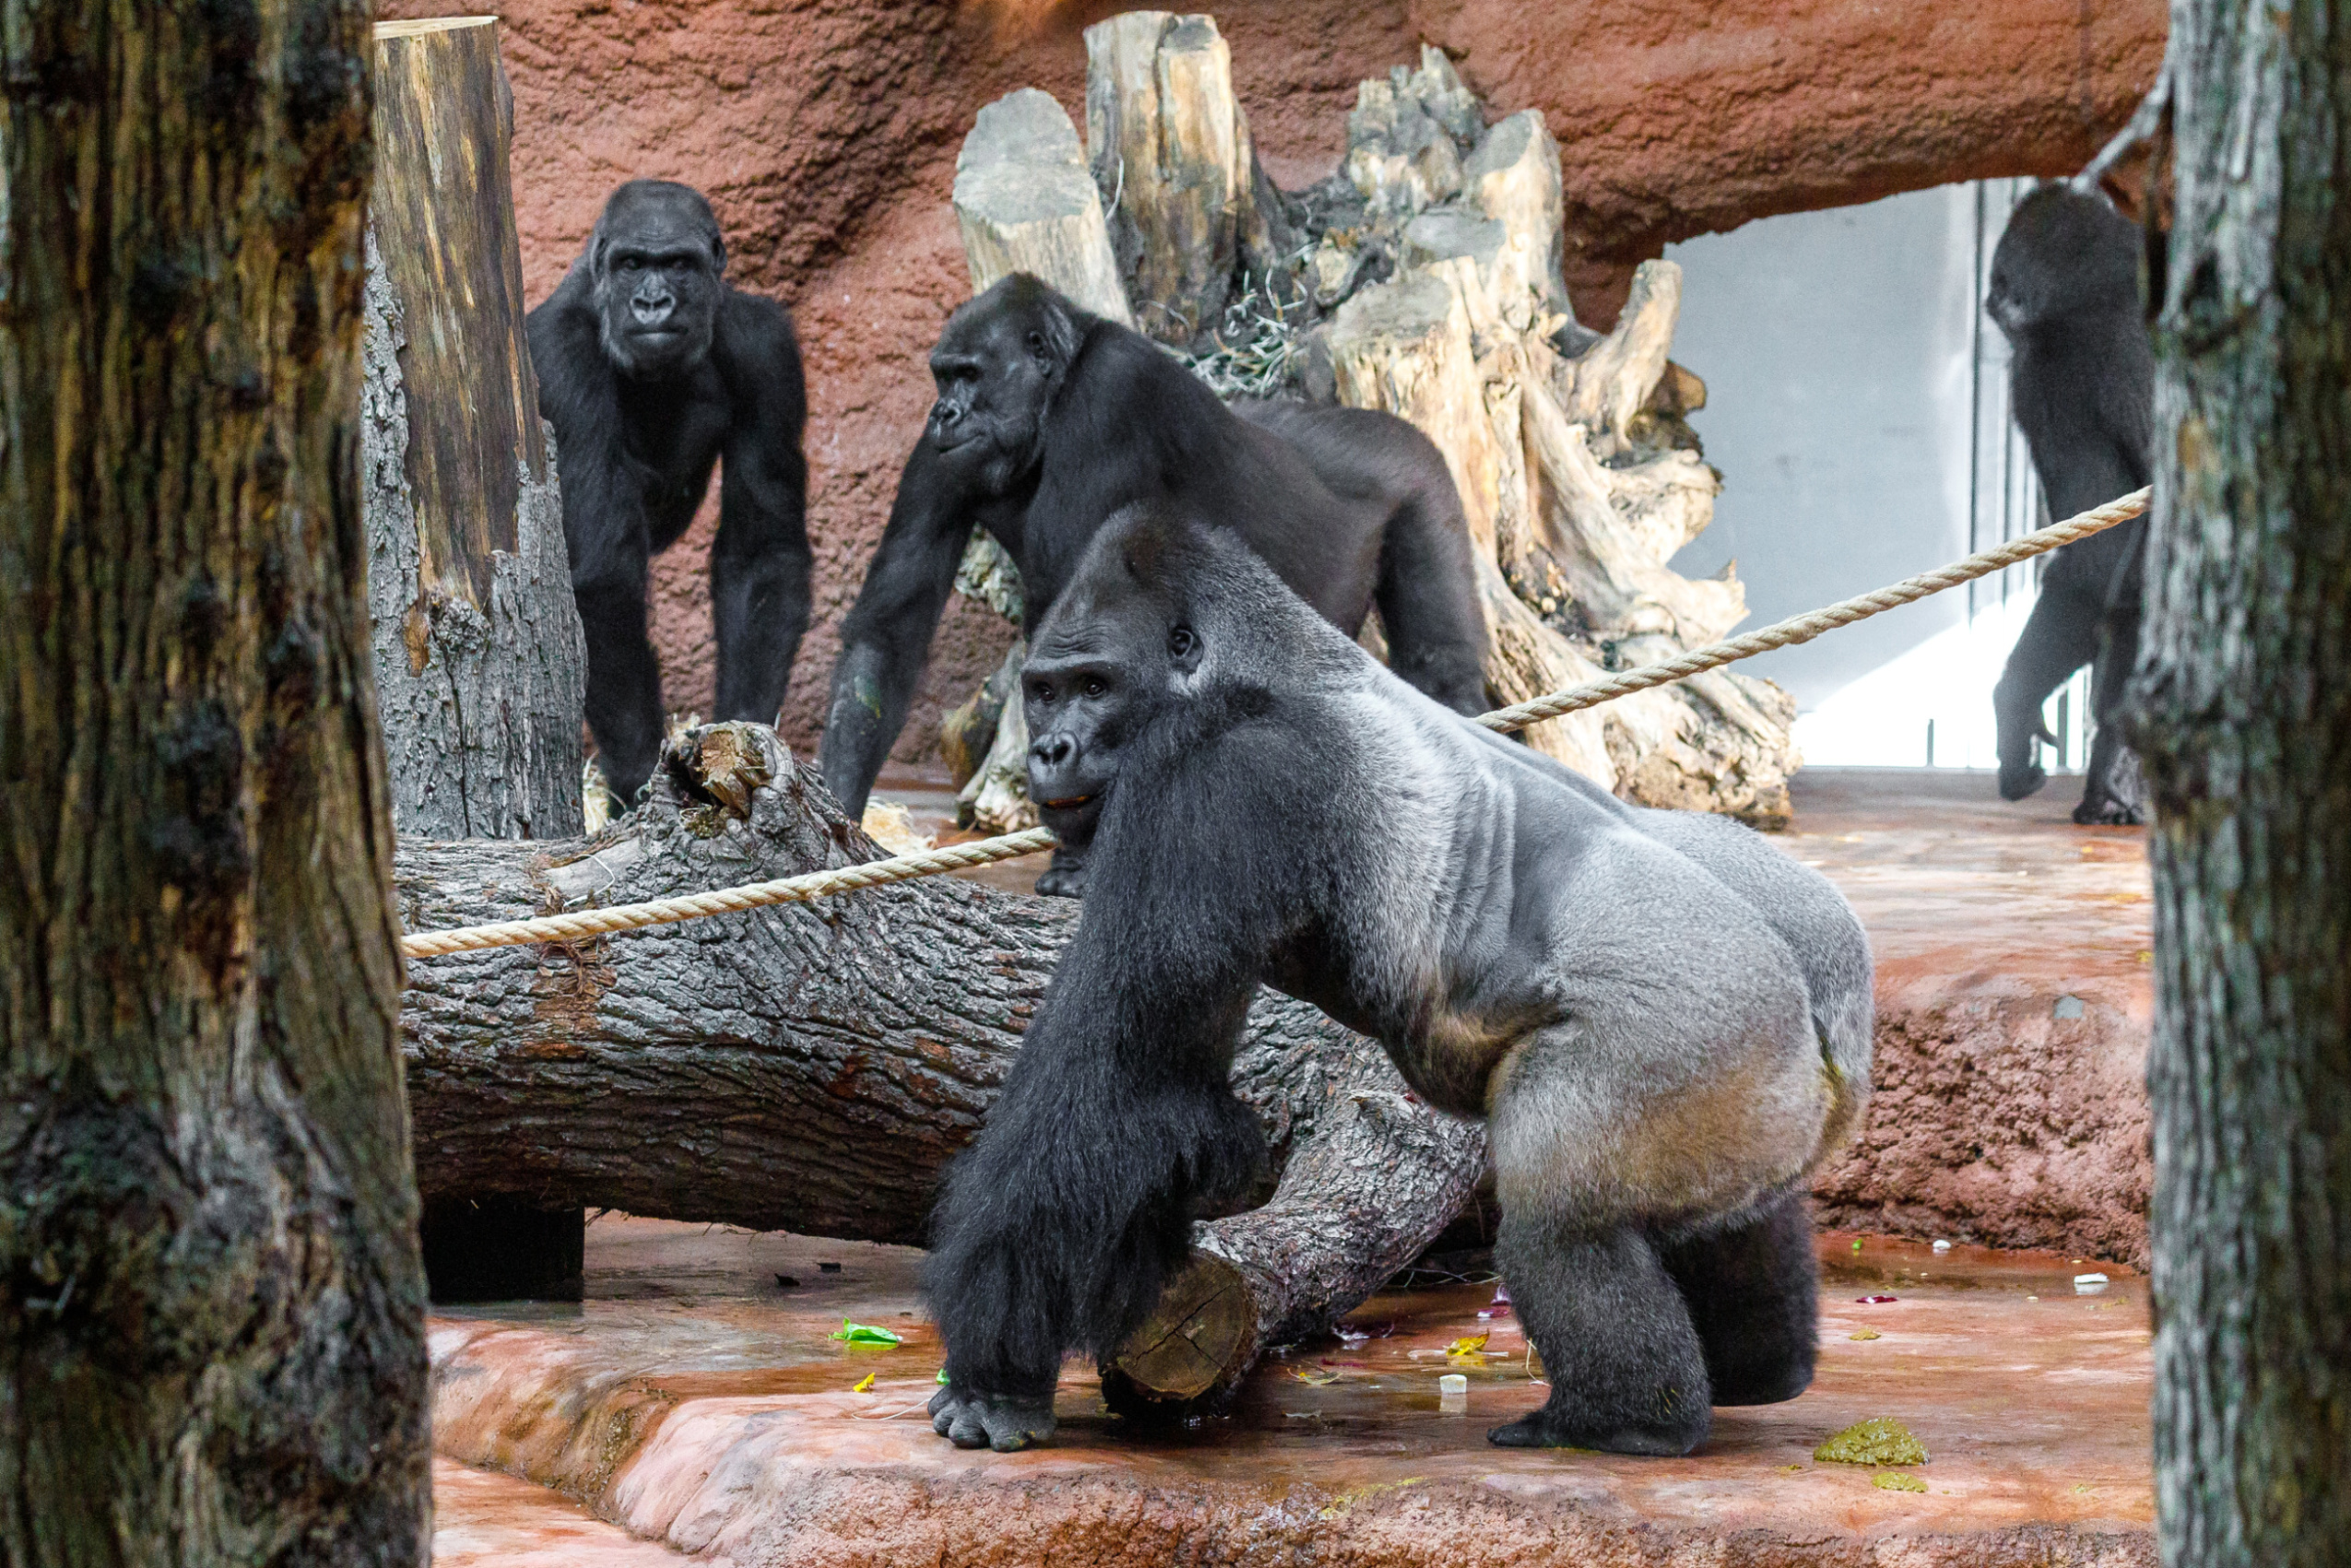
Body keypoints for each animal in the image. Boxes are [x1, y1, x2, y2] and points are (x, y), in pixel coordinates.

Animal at [528, 177, 813, 804]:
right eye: (633, 264)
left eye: (678, 265)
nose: (653, 302)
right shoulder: (560, 360)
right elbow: (605, 577)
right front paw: (638, 777)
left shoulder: (766, 349)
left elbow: (762, 552)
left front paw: (746, 736)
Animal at [818, 272, 1494, 893]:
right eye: (942, 378)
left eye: (971, 375)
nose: (944, 412)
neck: (1059, 386)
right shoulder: (938, 454)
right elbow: (889, 633)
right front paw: (834, 823)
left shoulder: (1112, 392)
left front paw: (1082, 853)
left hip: (1413, 468)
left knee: (1442, 667)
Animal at [916, 505, 1871, 1457]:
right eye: (1043, 691)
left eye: (1095, 686)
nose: (1049, 748)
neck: (1261, 660)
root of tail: (1837, 1023)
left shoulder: (1222, 775)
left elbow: (1126, 1077)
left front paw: (995, 1378)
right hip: (1761, 1083)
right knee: (1729, 1207)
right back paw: (1762, 1366)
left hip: (1699, 1025)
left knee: (1561, 1224)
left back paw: (1623, 1420)